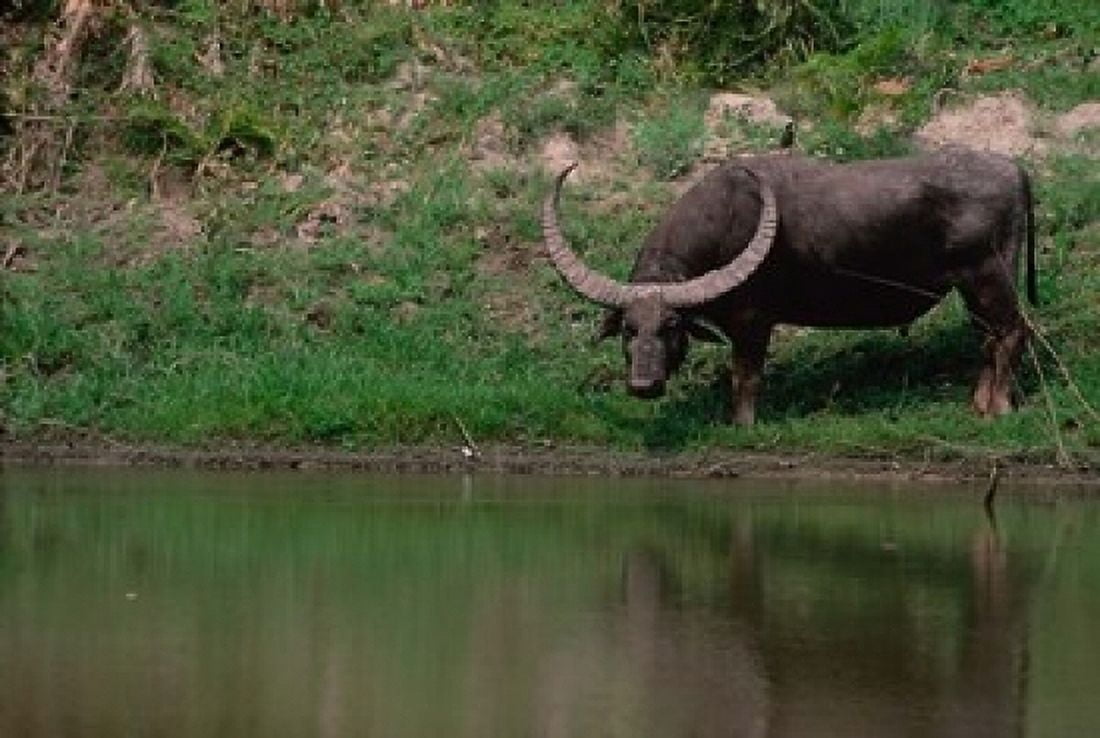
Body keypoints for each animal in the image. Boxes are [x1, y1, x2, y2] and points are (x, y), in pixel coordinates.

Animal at [542, 147, 1036, 425]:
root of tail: (1013, 168)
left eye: (672, 327)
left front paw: (741, 424)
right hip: (972, 289)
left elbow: (745, 375)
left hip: (989, 276)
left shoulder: (753, 322)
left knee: (1012, 332)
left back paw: (1000, 410)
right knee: (988, 339)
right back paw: (979, 405)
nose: (644, 385)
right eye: (629, 329)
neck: (726, 224)